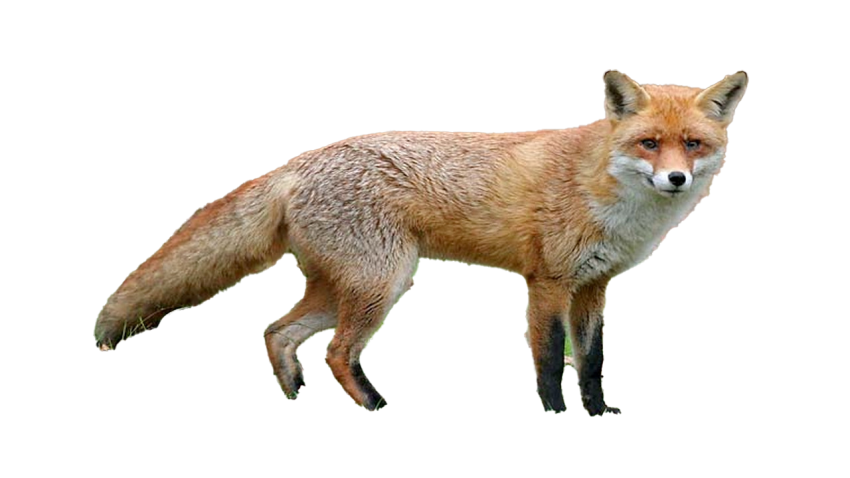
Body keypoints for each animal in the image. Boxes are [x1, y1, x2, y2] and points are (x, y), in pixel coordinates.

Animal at [93, 69, 748, 416]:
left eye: (692, 144)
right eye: (648, 143)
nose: (676, 179)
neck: (607, 195)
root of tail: (302, 160)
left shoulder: (594, 286)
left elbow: (591, 361)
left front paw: (595, 414)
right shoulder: (548, 282)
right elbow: (548, 360)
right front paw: (555, 416)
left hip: (350, 286)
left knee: (275, 331)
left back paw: (293, 394)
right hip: (385, 282)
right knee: (335, 351)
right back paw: (373, 407)